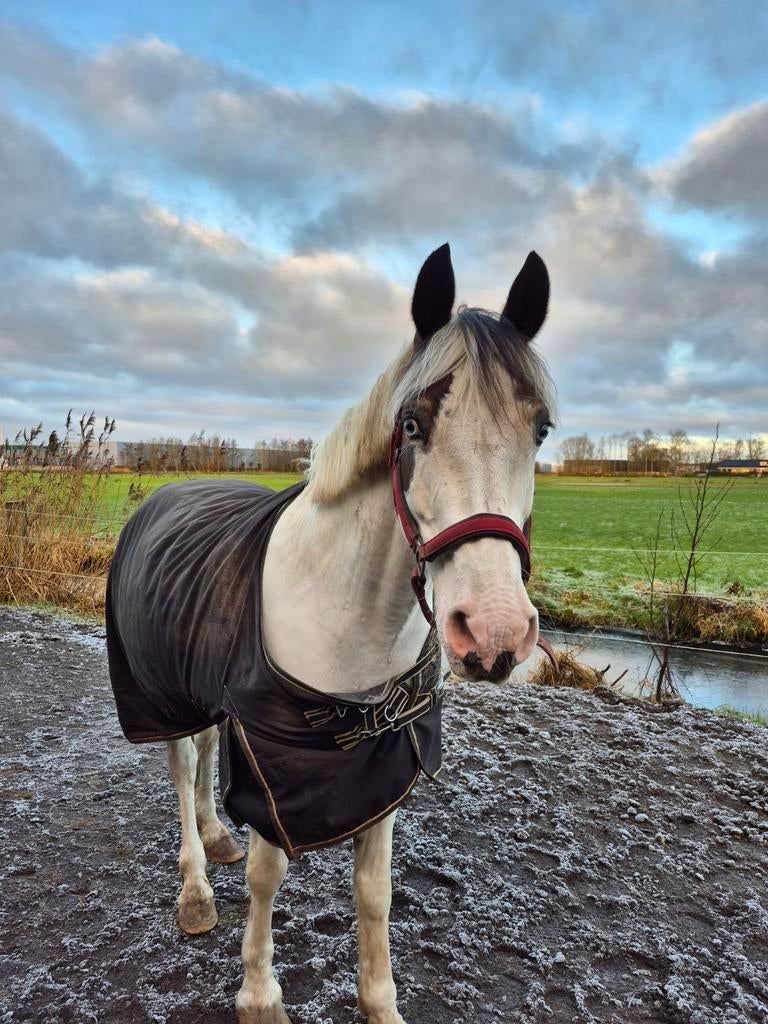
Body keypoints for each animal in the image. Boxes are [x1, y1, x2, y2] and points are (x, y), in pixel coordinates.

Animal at [105, 243, 556, 1024]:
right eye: (414, 424)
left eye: (540, 430)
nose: (495, 631)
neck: (351, 620)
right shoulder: (269, 769)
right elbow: (266, 876)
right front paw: (259, 995)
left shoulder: (381, 773)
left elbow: (374, 895)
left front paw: (381, 1004)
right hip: (161, 697)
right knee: (182, 770)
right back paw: (195, 887)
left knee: (203, 756)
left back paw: (216, 838)